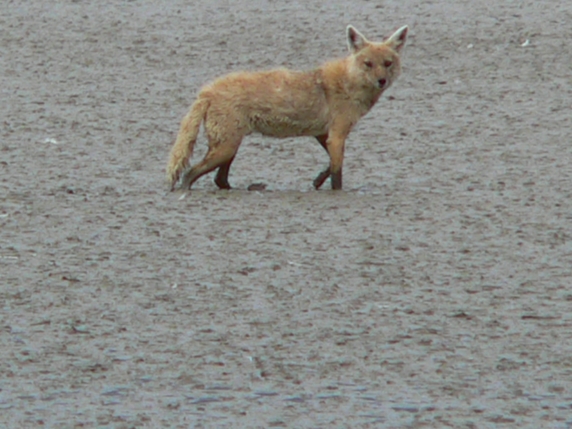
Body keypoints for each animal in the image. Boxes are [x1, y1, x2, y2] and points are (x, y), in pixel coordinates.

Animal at [166, 24, 408, 191]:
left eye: (387, 64)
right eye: (368, 64)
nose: (382, 81)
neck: (349, 84)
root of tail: (206, 91)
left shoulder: (324, 134)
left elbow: (329, 165)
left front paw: (317, 181)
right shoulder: (337, 135)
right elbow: (337, 176)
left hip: (229, 148)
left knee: (219, 179)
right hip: (226, 147)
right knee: (189, 174)